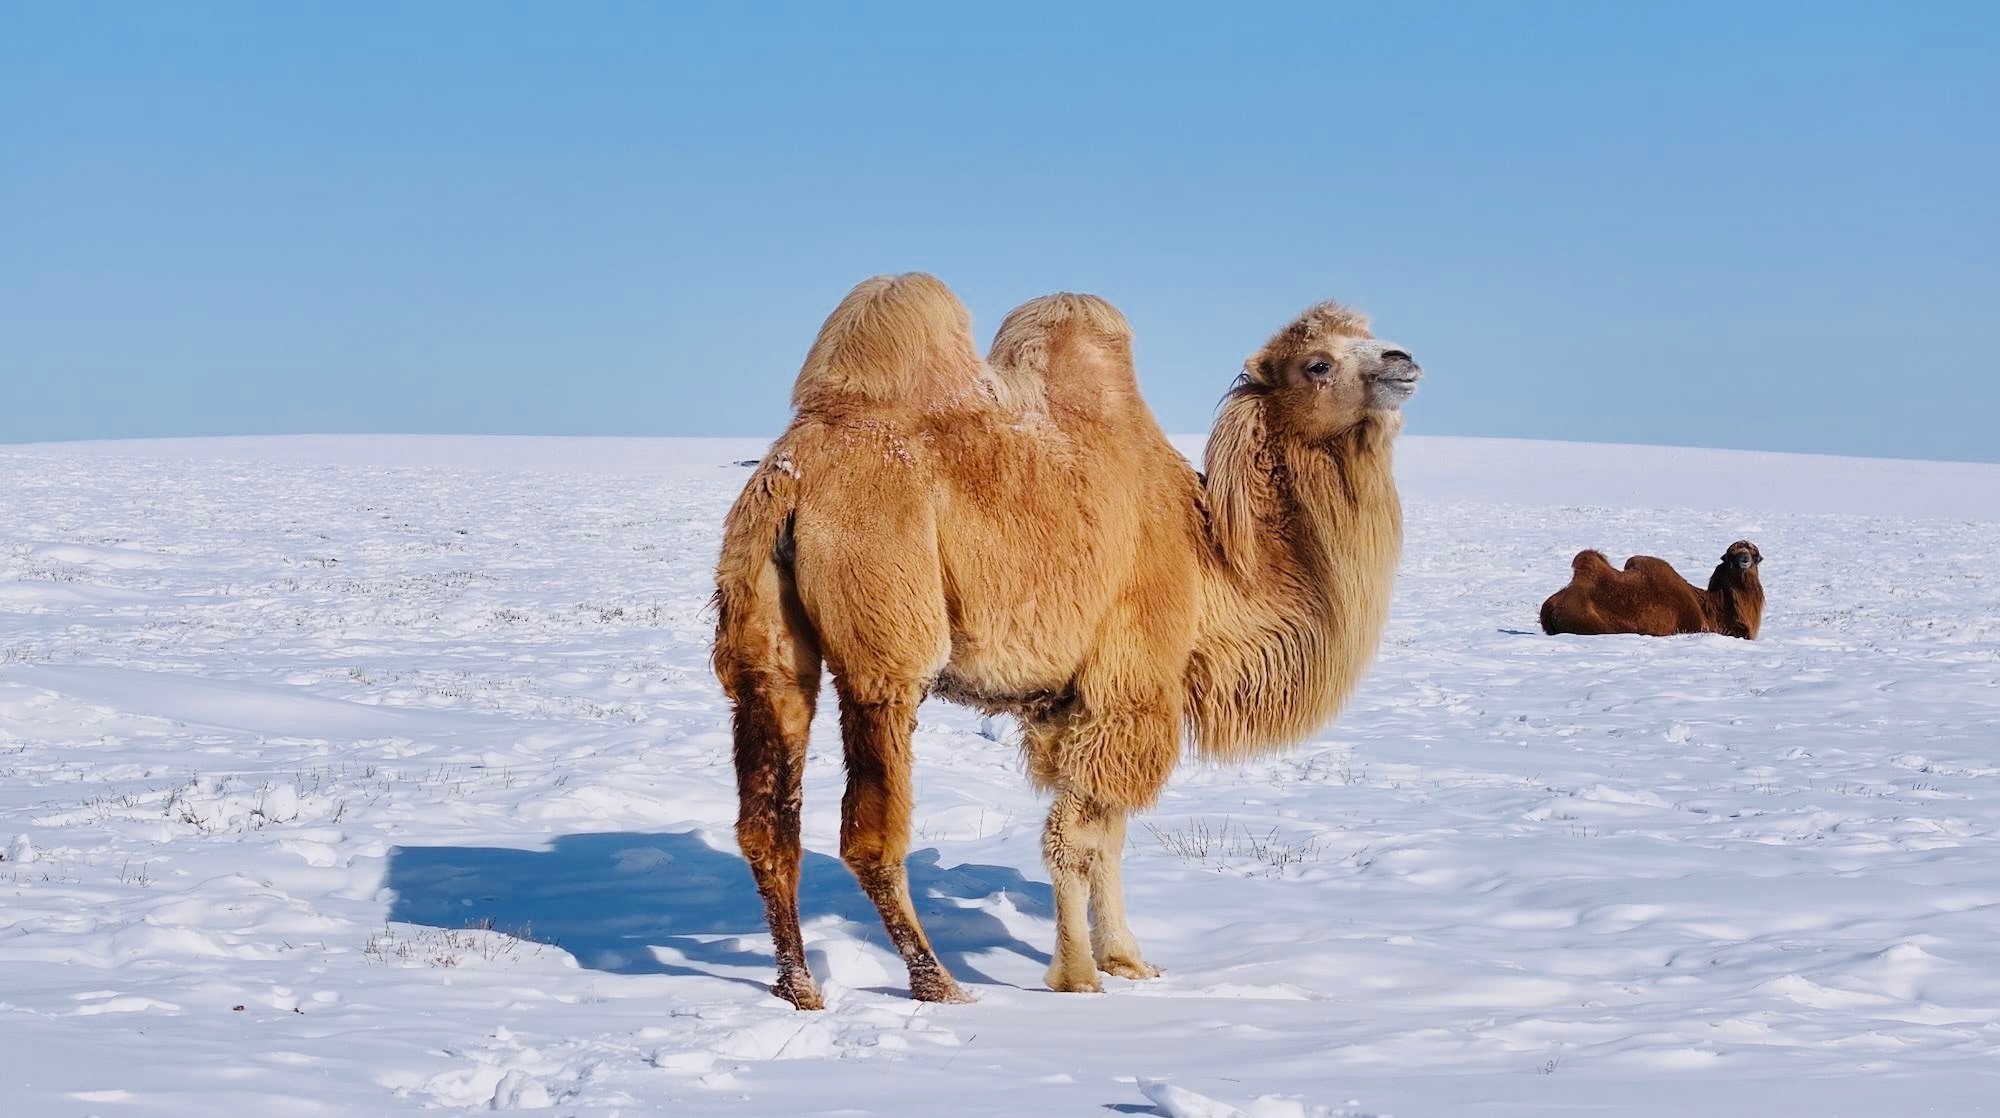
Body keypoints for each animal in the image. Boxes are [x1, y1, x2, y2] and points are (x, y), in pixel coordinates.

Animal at [712, 276, 1416, 1012]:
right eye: (1318, 363)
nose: (1403, 360)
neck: (1211, 558)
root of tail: (792, 477)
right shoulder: (1129, 687)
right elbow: (1075, 839)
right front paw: (1077, 976)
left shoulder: (1066, 707)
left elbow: (1106, 837)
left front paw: (1127, 960)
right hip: (889, 640)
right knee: (869, 831)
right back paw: (938, 982)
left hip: (761, 638)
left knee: (768, 820)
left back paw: (798, 988)